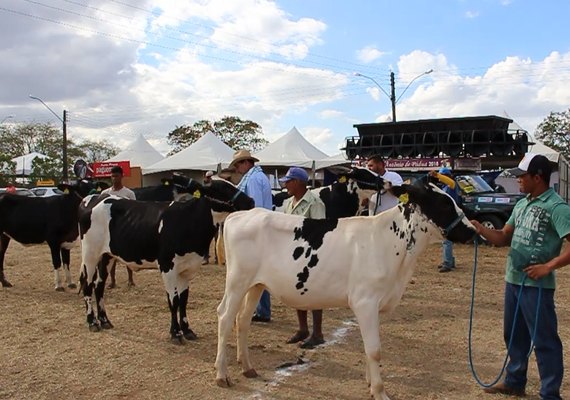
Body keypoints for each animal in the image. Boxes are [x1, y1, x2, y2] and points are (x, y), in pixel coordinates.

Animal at [78, 177, 253, 340]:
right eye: (221, 188)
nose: (250, 201)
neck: (189, 220)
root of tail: (94, 197)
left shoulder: (187, 268)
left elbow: (183, 299)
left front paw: (187, 330)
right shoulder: (167, 266)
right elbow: (173, 300)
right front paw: (175, 333)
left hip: (106, 256)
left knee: (99, 286)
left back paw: (105, 320)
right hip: (90, 253)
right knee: (87, 284)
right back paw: (92, 322)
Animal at [213, 181, 474, 400]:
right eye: (443, 203)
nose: (473, 231)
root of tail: (242, 214)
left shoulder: (376, 304)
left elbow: (369, 348)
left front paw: (370, 384)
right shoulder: (365, 302)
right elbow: (375, 350)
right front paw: (379, 391)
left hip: (256, 285)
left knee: (242, 319)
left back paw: (248, 367)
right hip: (237, 281)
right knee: (225, 317)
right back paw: (222, 375)